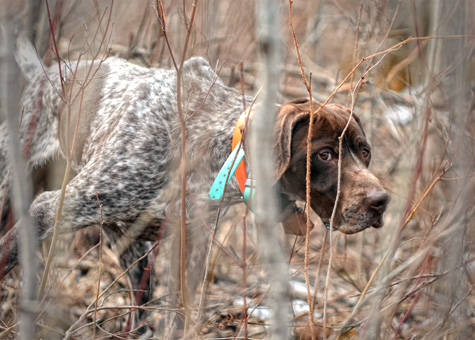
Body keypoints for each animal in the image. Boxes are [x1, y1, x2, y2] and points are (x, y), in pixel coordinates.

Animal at [0, 37, 386, 332]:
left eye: (365, 152)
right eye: (325, 155)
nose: (380, 201)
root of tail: (43, 74)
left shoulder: (189, 248)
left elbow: (179, 314)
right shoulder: (53, 207)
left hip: (128, 243)